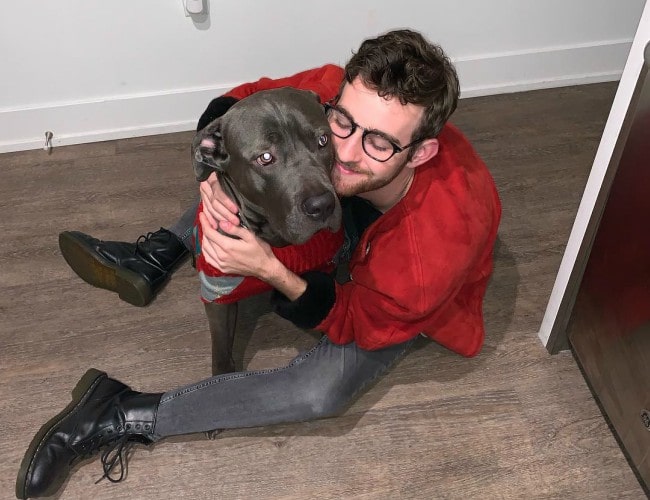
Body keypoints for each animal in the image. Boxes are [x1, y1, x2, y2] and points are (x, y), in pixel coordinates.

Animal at [190, 87, 342, 376]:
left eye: (323, 140)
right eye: (266, 157)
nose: (322, 205)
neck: (273, 238)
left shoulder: (325, 270)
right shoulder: (218, 293)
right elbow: (221, 352)